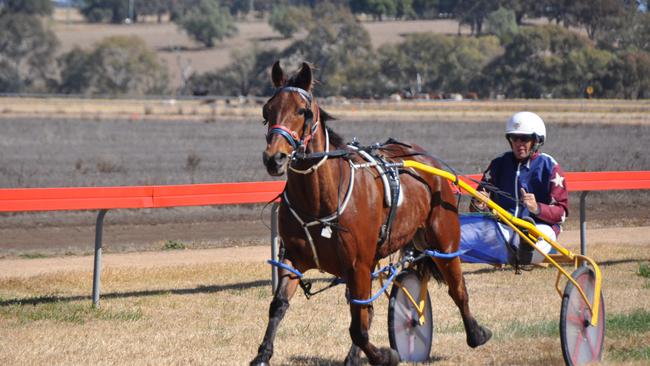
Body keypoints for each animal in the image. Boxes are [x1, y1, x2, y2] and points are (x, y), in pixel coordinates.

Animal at [251, 61, 488, 364]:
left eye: (302, 111)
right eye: (267, 111)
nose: (274, 158)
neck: (320, 198)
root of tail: (424, 157)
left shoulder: (358, 264)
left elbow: (359, 327)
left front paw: (385, 355)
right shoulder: (295, 257)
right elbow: (279, 305)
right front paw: (263, 354)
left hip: (443, 238)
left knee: (457, 287)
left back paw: (476, 332)